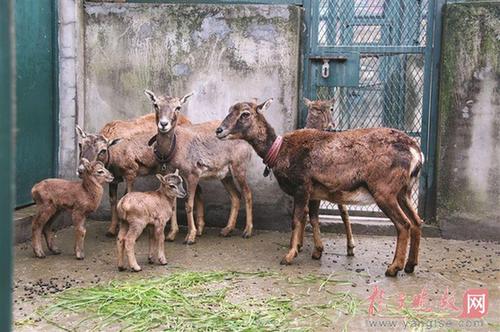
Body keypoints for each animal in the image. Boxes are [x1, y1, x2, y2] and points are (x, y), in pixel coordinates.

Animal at [217, 100, 424, 276]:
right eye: (229, 110)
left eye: (245, 113)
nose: (219, 130)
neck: (280, 153)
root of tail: (417, 153)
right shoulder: (315, 191)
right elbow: (314, 218)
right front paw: (316, 251)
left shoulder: (302, 184)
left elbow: (297, 219)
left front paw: (289, 255)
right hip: (404, 191)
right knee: (416, 221)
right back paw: (410, 265)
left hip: (384, 189)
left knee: (404, 224)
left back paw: (393, 268)